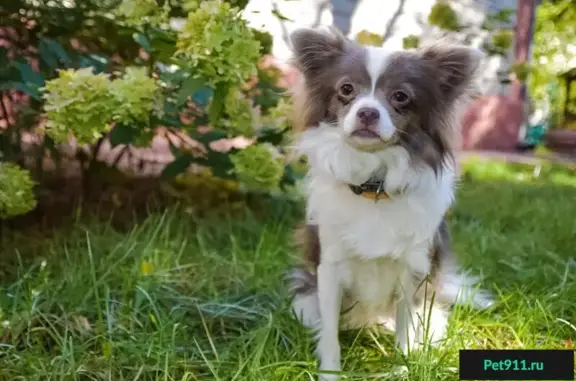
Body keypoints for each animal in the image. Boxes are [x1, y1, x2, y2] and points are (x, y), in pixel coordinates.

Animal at [286, 25, 492, 378]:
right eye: (346, 89)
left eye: (400, 97)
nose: (367, 112)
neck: (374, 188)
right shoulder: (330, 267)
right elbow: (329, 333)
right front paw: (330, 372)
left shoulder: (413, 272)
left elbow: (405, 332)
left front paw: (402, 368)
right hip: (304, 301)